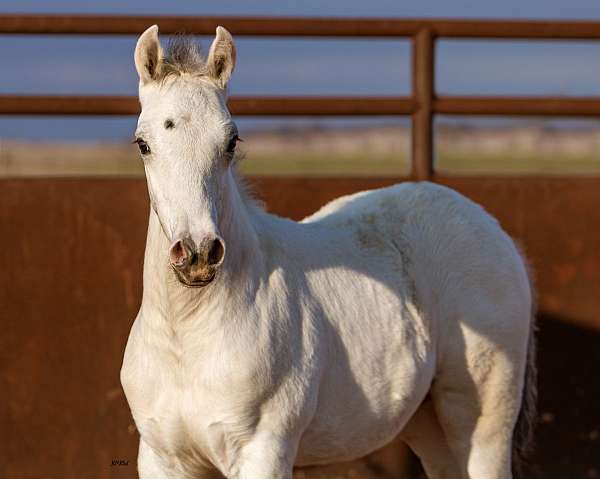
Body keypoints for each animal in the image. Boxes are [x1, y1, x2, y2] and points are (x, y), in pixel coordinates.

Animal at [119, 26, 536, 479]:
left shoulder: (263, 451)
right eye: (143, 144)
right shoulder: (161, 458)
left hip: (483, 419)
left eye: (231, 142)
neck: (186, 339)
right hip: (427, 422)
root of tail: (493, 230)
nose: (198, 253)